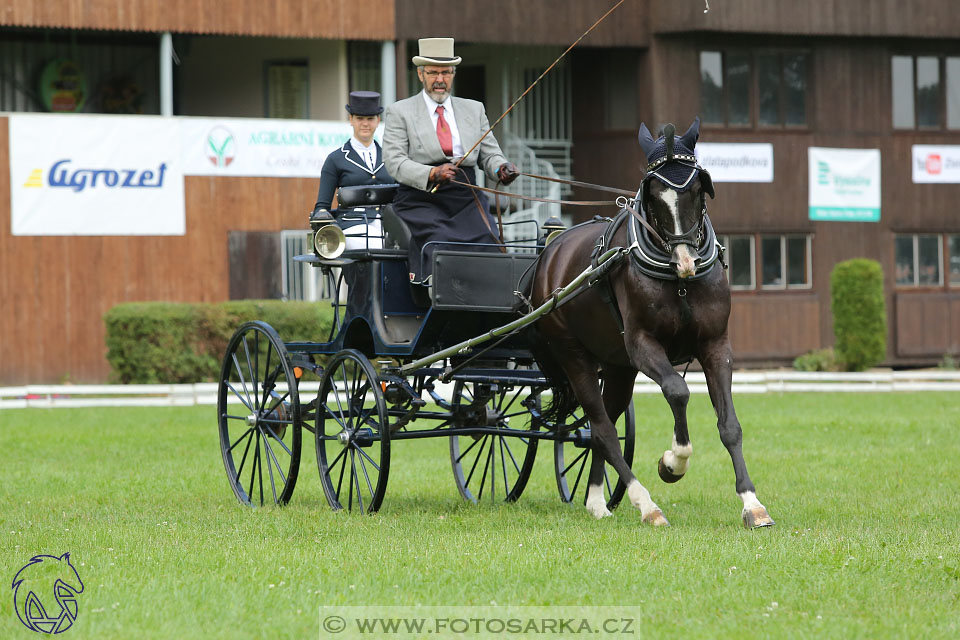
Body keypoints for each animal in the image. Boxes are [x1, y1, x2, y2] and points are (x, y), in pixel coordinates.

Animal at [528, 117, 776, 528]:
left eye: (698, 188)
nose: (686, 261)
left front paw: (752, 504)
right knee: (603, 428)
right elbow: (677, 391)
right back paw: (646, 504)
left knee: (602, 426)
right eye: (655, 194)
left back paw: (596, 502)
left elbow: (730, 425)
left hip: (617, 367)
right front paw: (672, 463)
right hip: (573, 355)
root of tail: (550, 253)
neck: (679, 282)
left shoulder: (715, 344)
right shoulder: (643, 345)